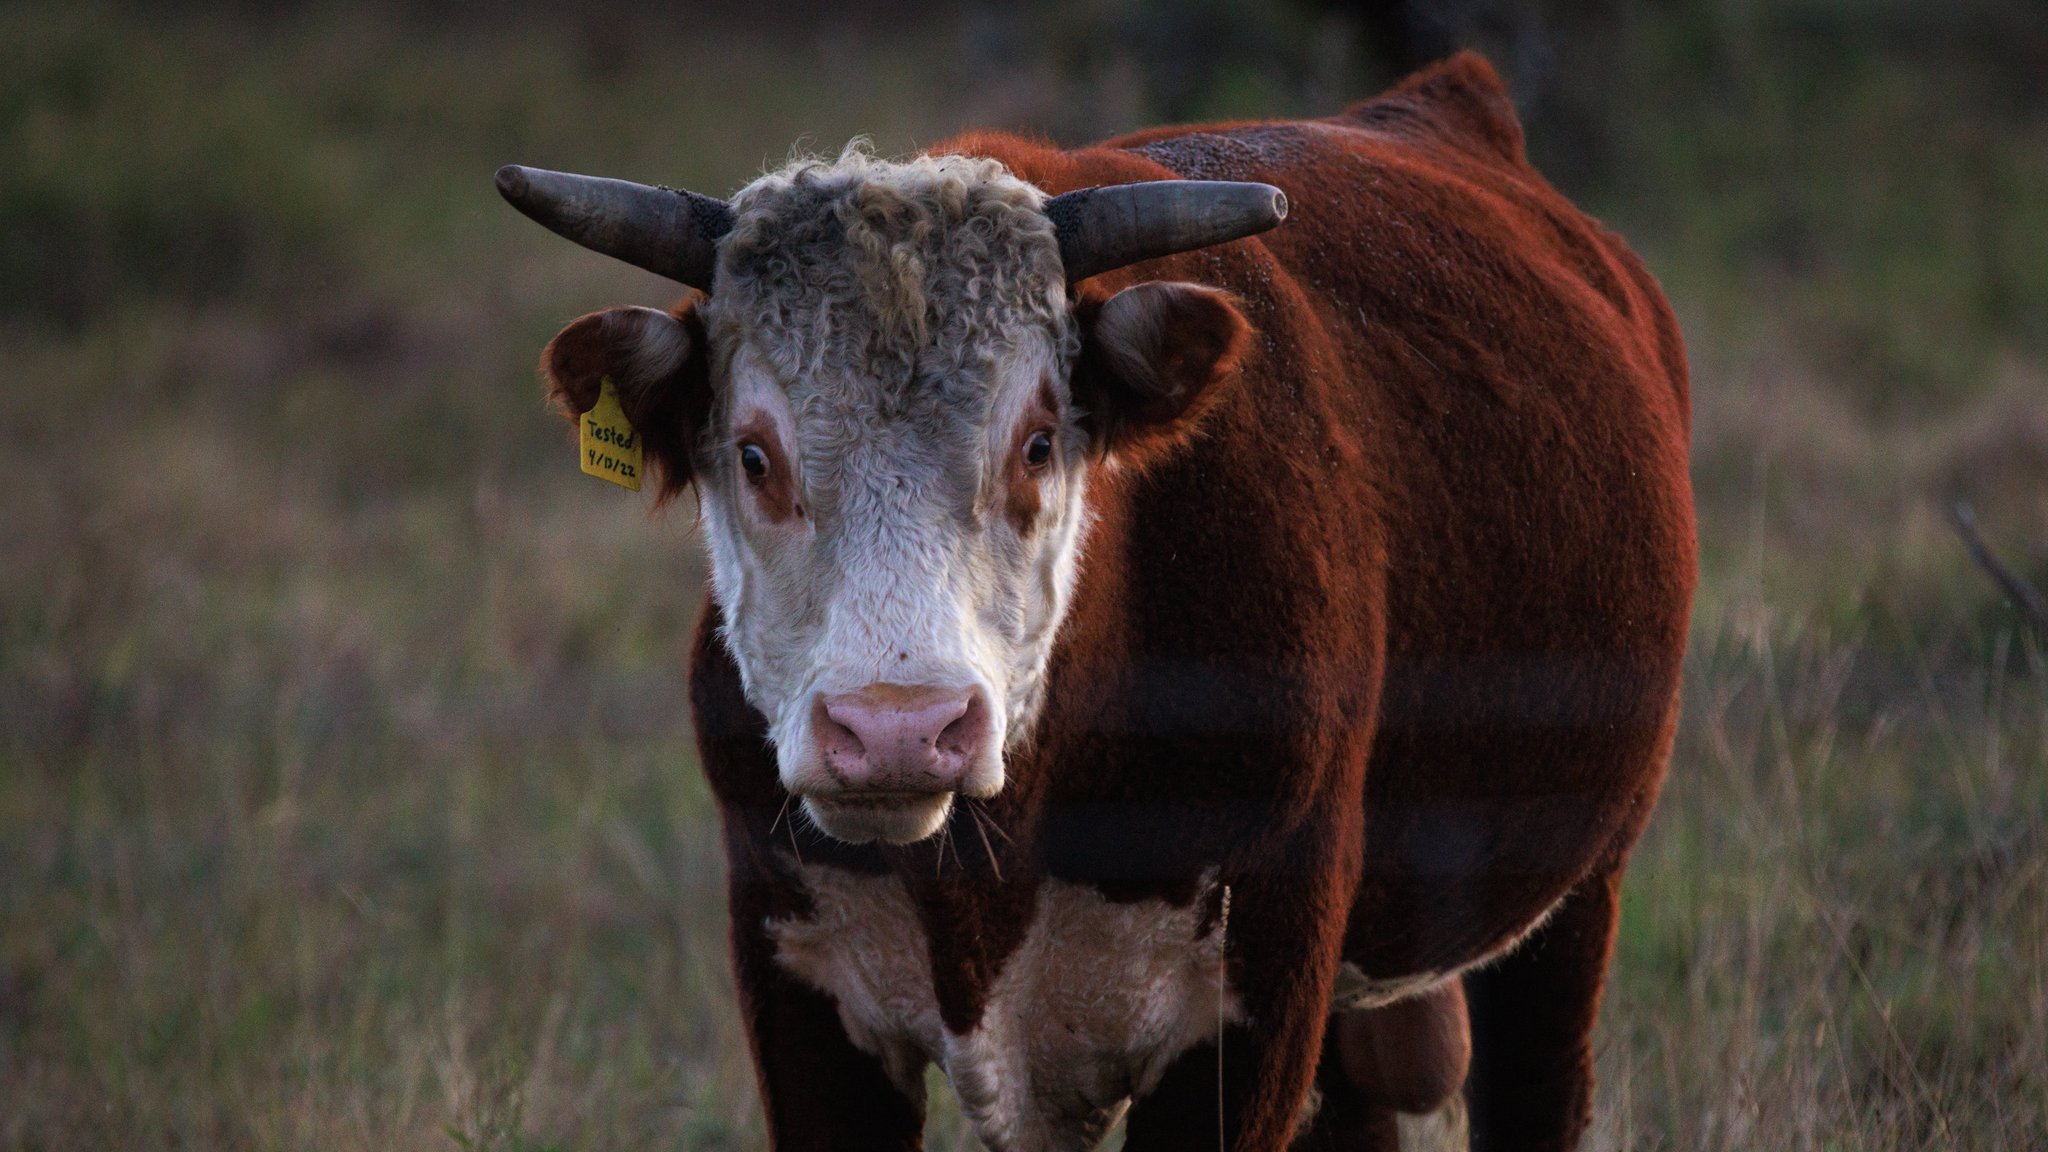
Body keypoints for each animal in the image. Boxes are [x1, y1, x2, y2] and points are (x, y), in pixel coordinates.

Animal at [495, 49, 1695, 1139]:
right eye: (752, 453)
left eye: (1036, 441)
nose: (897, 733)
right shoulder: (797, 990)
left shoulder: (1258, 1003)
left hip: (1575, 898)